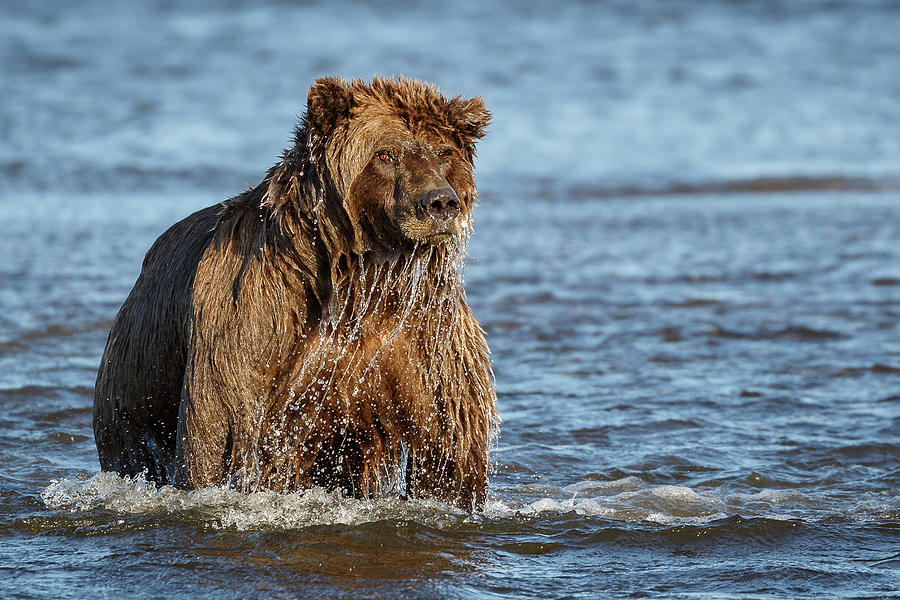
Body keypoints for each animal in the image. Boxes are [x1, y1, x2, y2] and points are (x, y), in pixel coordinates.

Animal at [92, 75, 500, 510]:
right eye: (386, 154)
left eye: (444, 152)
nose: (440, 202)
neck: (364, 281)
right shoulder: (256, 325)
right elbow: (217, 436)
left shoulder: (424, 340)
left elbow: (448, 448)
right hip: (136, 374)